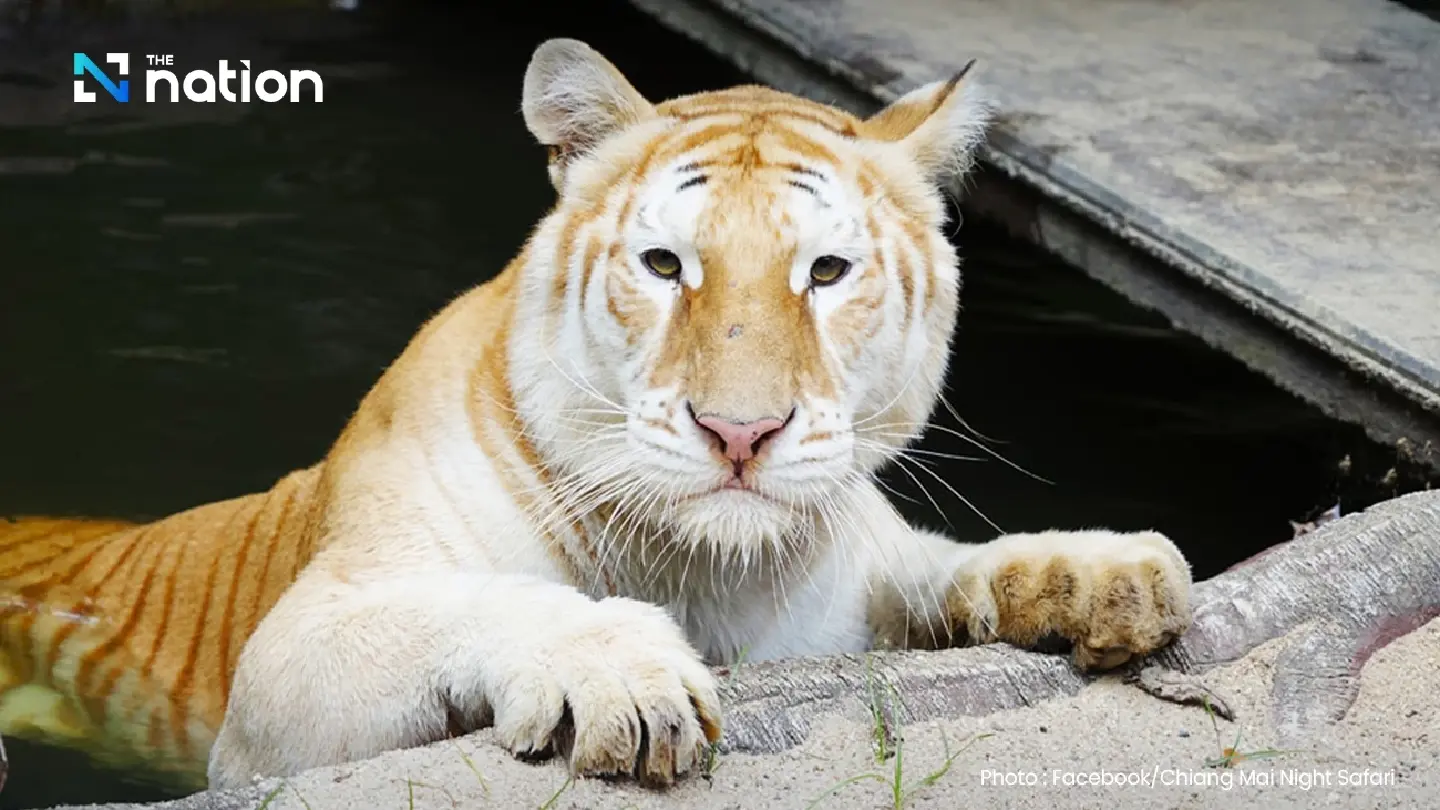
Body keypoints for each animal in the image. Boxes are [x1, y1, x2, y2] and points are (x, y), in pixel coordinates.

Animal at [0, 37, 1192, 793]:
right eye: (665, 265)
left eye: (827, 272)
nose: (740, 433)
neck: (709, 570)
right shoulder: (291, 664)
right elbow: (486, 601)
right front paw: (622, 671)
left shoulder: (859, 569)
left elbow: (946, 567)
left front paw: (1111, 573)